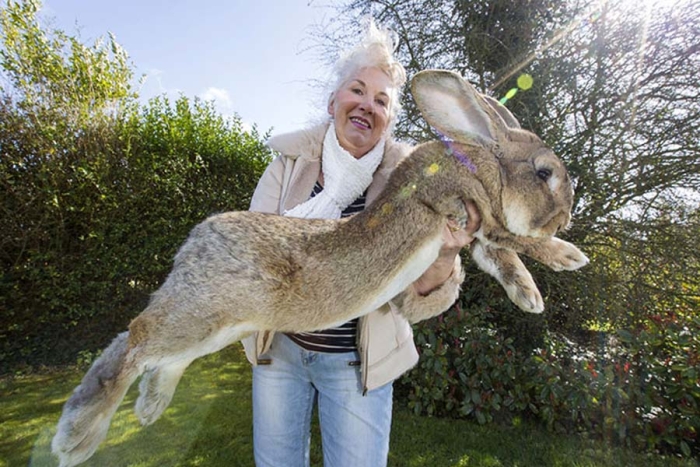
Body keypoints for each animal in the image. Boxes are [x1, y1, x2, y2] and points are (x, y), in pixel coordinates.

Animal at [52, 70, 584, 467]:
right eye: (544, 173)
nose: (567, 216)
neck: (478, 162)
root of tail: (194, 244)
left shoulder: (474, 234)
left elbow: (501, 258)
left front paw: (530, 297)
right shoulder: (468, 210)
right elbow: (515, 240)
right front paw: (569, 256)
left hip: (219, 327)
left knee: (154, 353)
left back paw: (147, 408)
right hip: (204, 313)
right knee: (136, 339)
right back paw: (77, 435)